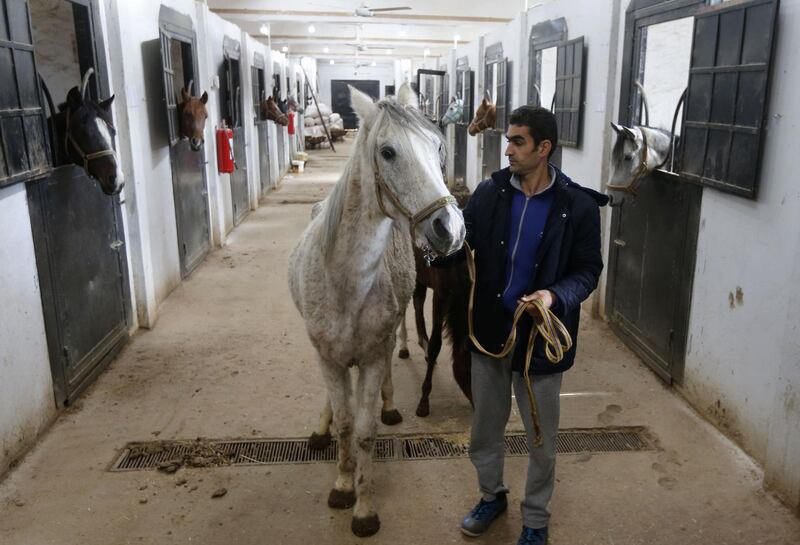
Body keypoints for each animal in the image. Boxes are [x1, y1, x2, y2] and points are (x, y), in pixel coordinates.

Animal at [290, 84, 466, 536]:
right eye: (387, 152)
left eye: (438, 146)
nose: (450, 229)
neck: (346, 282)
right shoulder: (328, 357)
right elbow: (345, 423)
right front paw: (341, 485)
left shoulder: (370, 356)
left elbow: (365, 431)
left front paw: (364, 507)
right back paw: (322, 425)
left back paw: (388, 404)